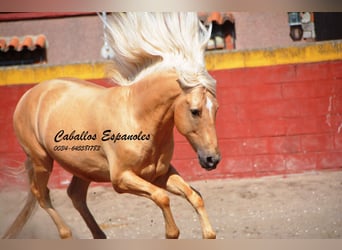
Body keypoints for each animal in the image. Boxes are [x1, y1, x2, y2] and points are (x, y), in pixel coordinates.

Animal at [2, 12, 220, 239]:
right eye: (195, 111)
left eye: (216, 109)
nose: (212, 159)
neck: (137, 118)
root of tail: (30, 95)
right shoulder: (121, 179)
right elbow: (162, 198)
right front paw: (171, 231)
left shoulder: (160, 174)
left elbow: (195, 196)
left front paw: (208, 233)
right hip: (41, 160)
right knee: (41, 193)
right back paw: (66, 233)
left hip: (83, 166)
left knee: (75, 194)